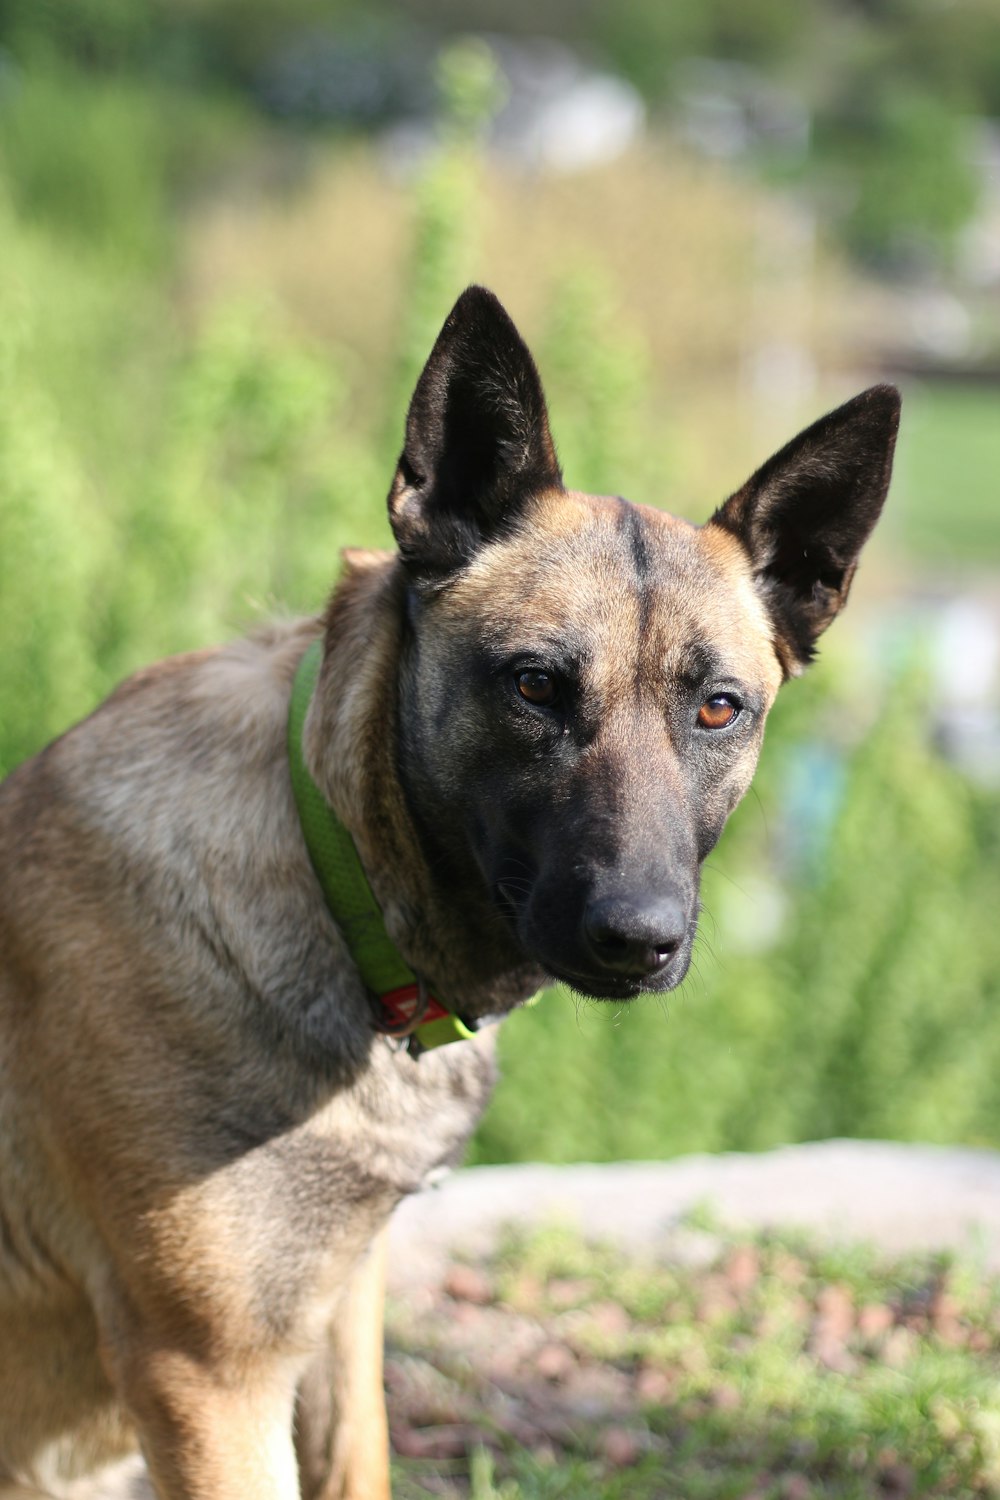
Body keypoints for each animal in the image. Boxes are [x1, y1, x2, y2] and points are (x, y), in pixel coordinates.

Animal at [0, 286, 899, 1494]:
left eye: (719, 708)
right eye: (534, 686)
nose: (640, 940)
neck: (333, 873)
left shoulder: (336, 1309)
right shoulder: (211, 1381)